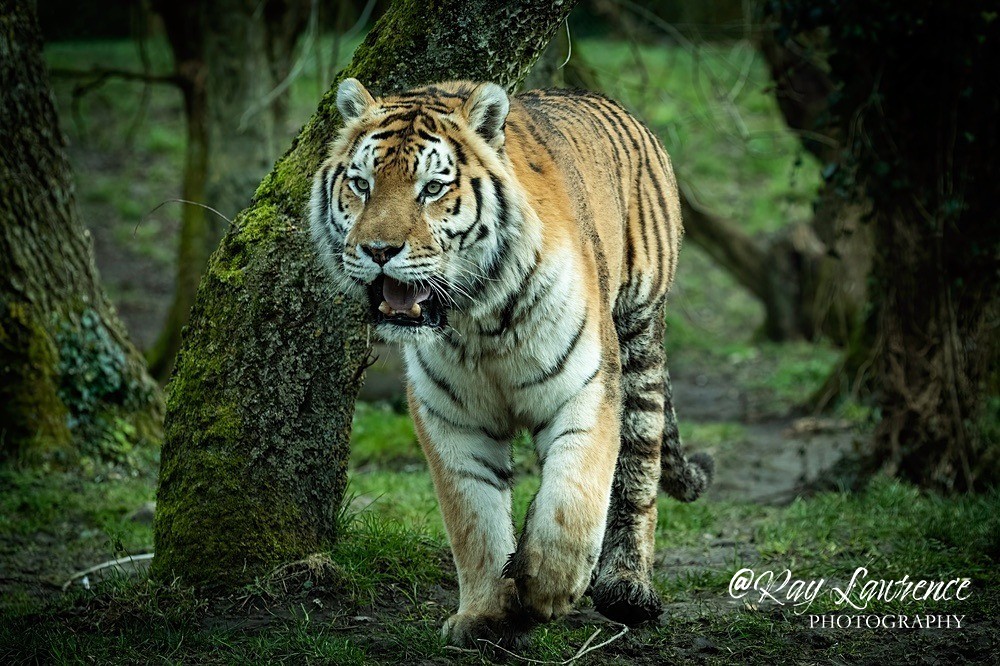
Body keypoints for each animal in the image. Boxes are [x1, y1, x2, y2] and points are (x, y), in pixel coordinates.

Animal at [309, 78, 714, 647]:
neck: (478, 319)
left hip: (639, 334)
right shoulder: (450, 416)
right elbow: (473, 519)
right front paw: (483, 615)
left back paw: (626, 588)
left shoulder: (587, 388)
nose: (378, 249)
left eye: (432, 189)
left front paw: (546, 589)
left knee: (638, 473)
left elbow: (573, 502)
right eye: (361, 184)